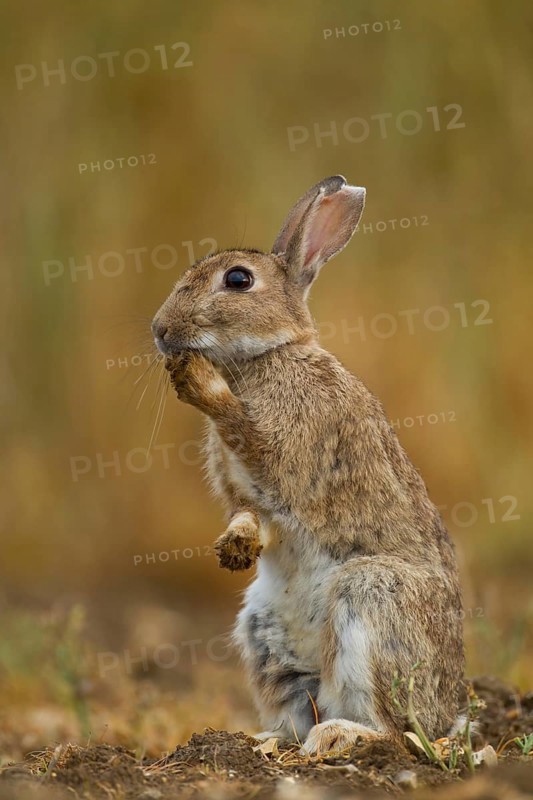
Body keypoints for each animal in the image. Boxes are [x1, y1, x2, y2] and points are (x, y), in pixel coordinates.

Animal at [151, 175, 464, 754]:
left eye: (237, 279)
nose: (160, 331)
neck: (266, 357)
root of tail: (450, 713)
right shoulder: (250, 496)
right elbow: (250, 516)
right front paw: (234, 547)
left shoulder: (288, 446)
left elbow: (248, 433)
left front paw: (199, 383)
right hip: (264, 636)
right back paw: (265, 740)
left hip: (372, 598)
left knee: (395, 731)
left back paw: (338, 735)